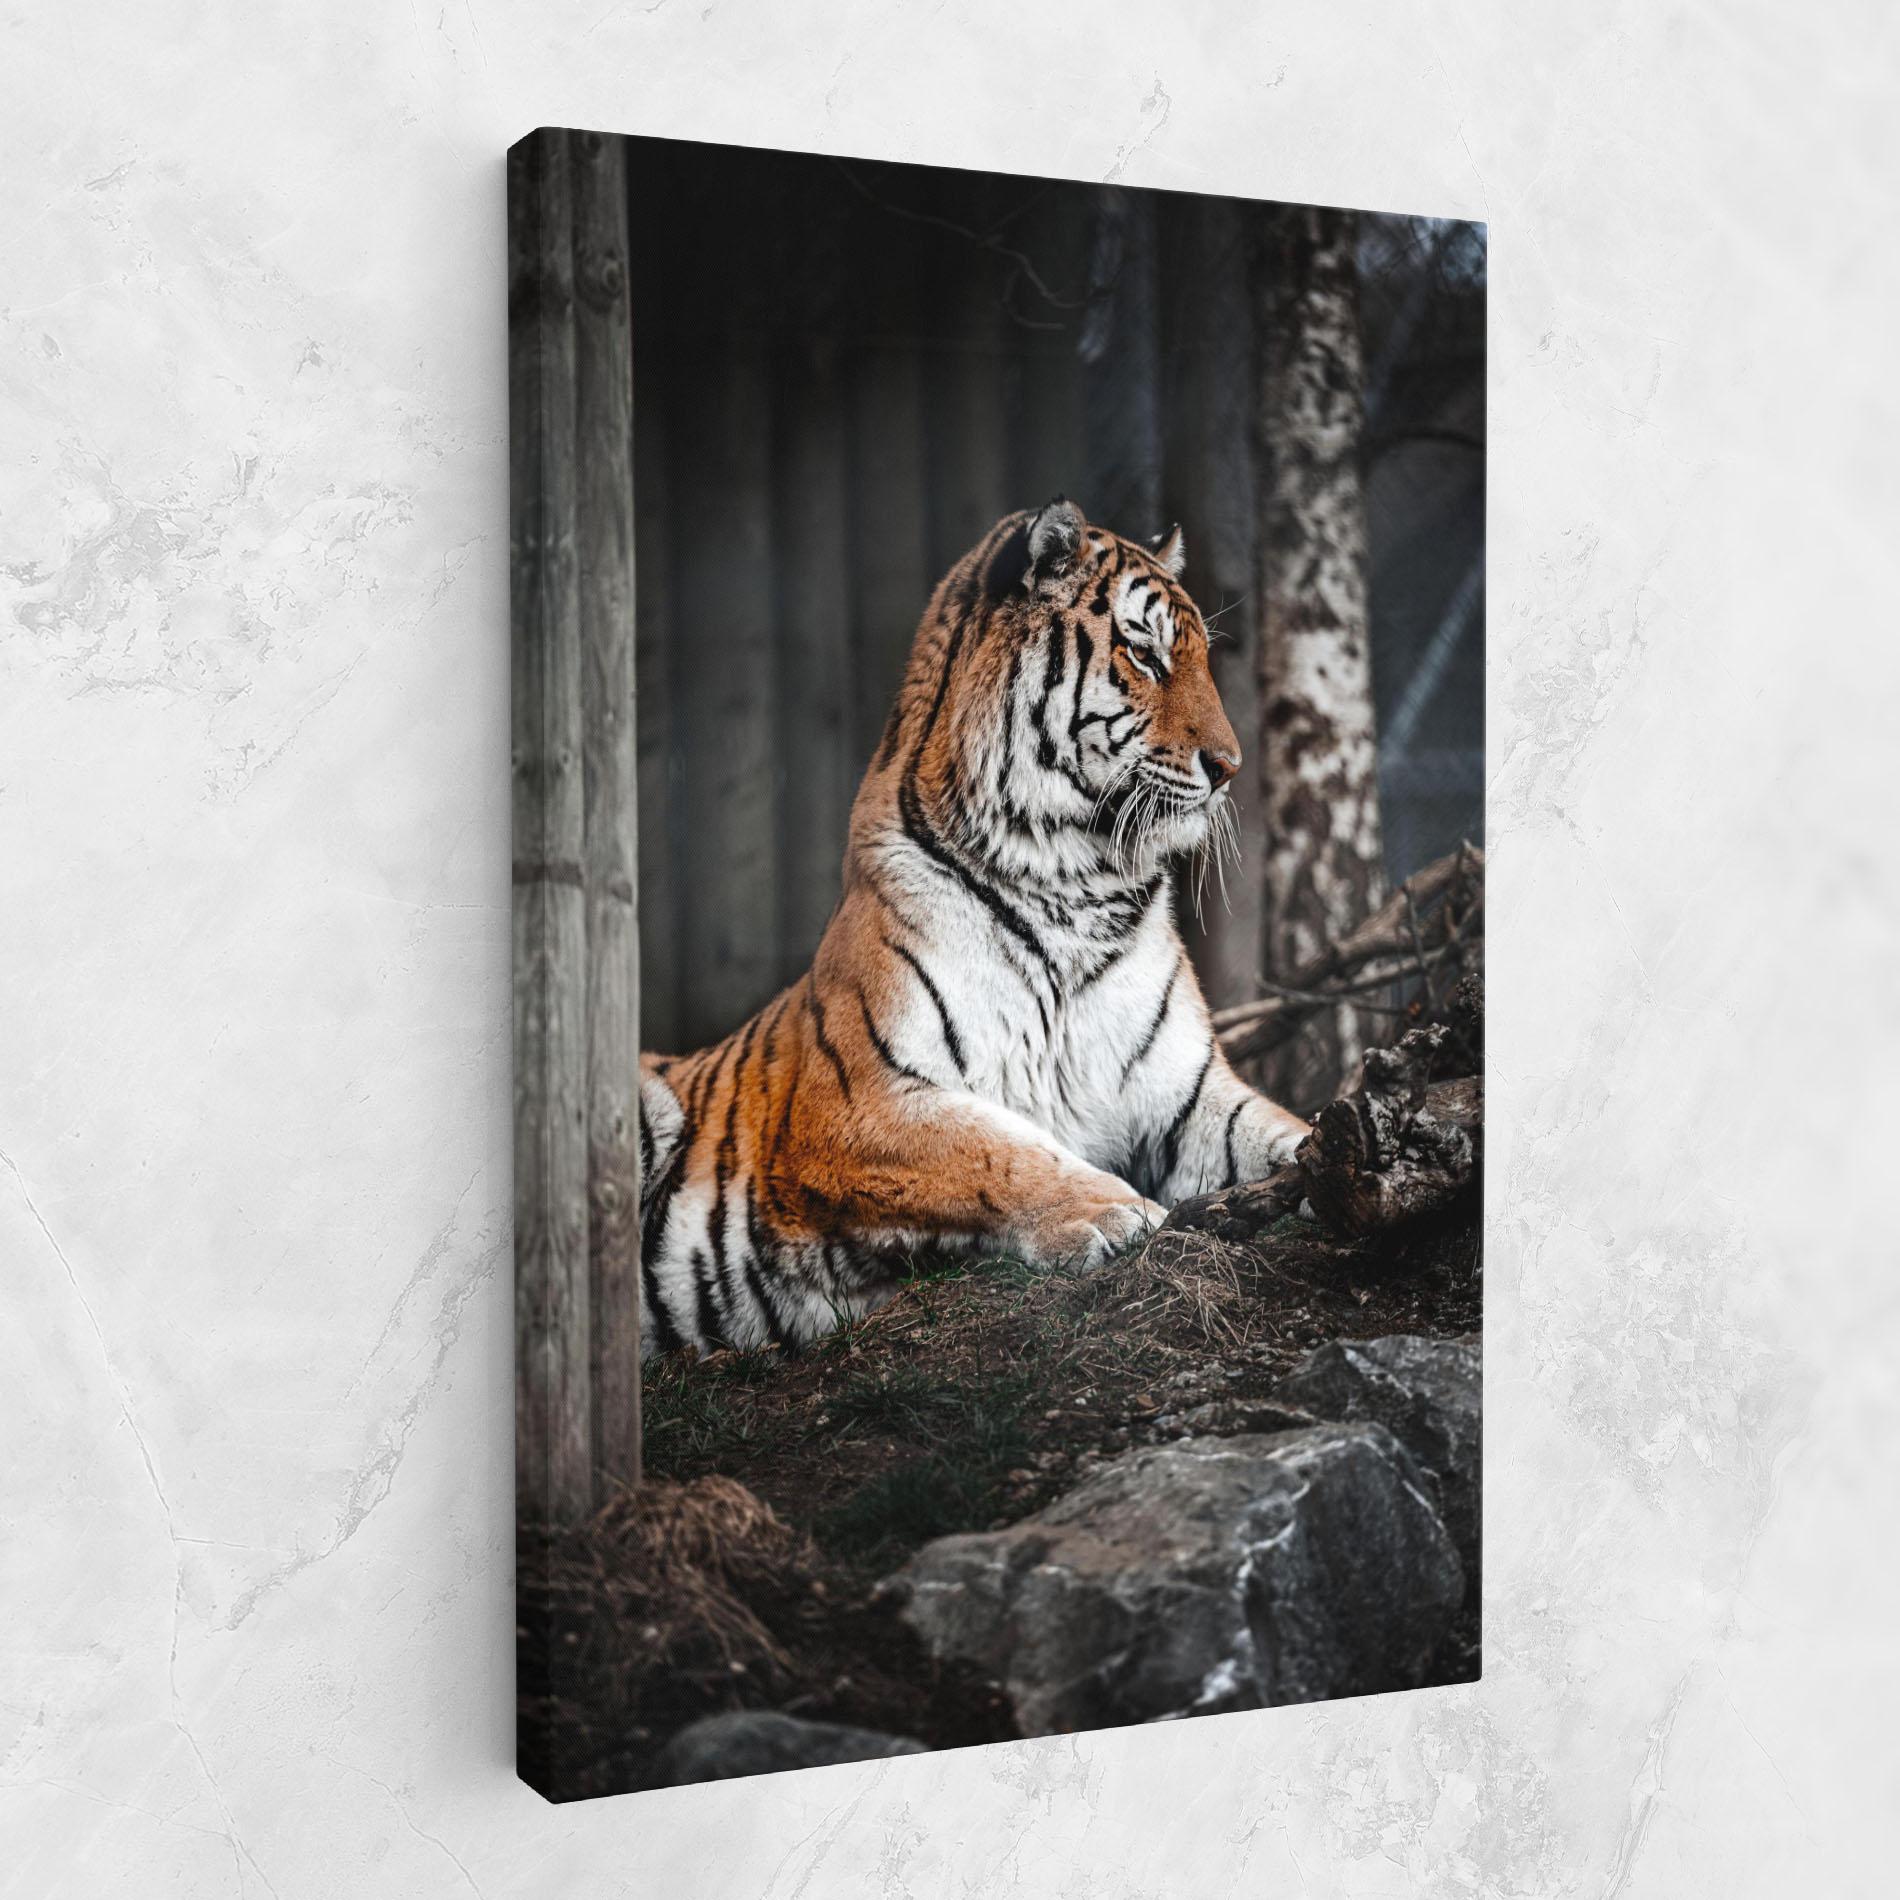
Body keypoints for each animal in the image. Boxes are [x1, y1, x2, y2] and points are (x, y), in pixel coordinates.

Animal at [636, 497, 1309, 1356]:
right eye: (1145, 654)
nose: (1229, 768)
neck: (1078, 887)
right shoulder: (855, 1102)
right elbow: (996, 1149)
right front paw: (1115, 1211)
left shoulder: (1191, 1099)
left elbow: (1279, 1129)